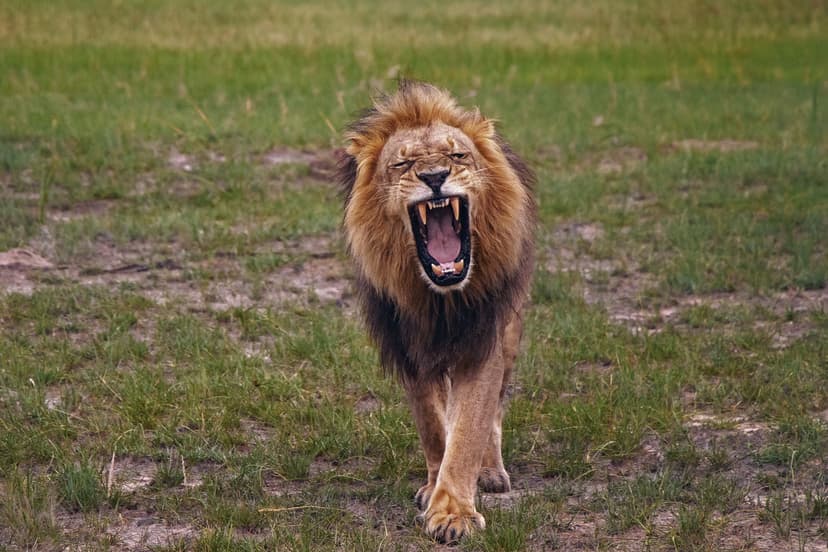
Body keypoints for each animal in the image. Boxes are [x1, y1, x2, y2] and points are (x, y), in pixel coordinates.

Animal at [338, 80, 535, 543]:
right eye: (404, 163)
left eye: (457, 156)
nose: (433, 177)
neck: (440, 300)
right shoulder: (409, 348)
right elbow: (433, 425)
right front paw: (434, 490)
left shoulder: (482, 343)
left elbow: (468, 431)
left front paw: (453, 514)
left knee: (495, 411)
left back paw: (491, 472)